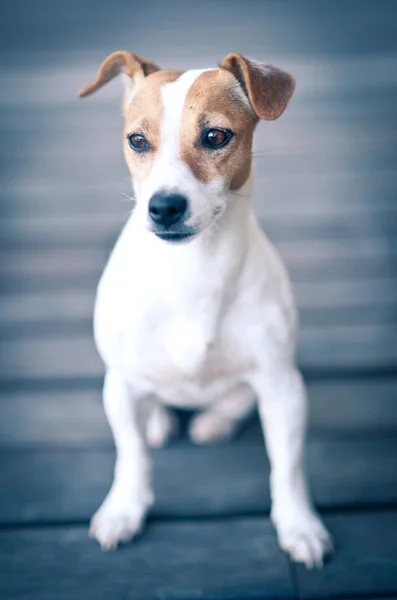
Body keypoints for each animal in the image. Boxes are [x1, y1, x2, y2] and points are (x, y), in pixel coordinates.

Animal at [76, 50, 332, 568]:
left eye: (215, 136)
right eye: (137, 140)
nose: (163, 207)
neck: (192, 269)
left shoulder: (283, 388)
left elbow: (288, 467)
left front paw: (299, 525)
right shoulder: (120, 384)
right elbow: (131, 455)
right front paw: (124, 510)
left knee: (234, 403)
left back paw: (214, 421)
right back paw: (158, 421)